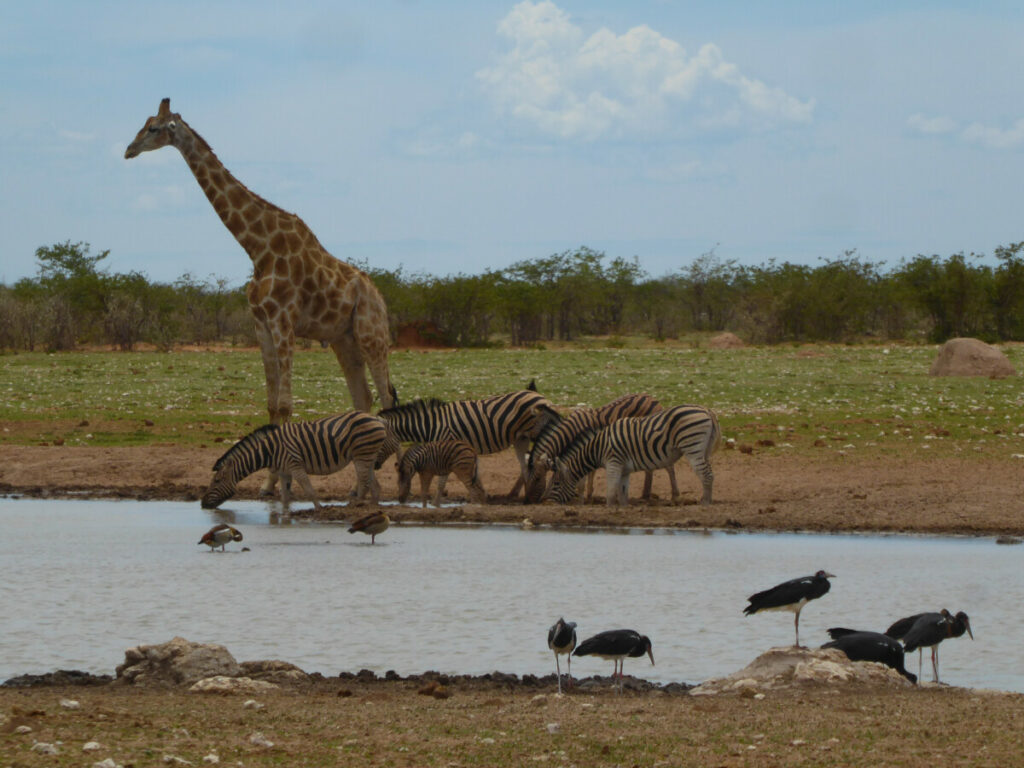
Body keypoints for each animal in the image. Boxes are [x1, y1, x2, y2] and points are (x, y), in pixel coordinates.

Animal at [125, 99, 397, 489]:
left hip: (371, 332)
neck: (257, 247)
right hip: (343, 339)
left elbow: (285, 403)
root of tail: (380, 296)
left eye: (154, 128)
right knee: (363, 396)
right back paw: (360, 483)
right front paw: (269, 485)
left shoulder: (284, 321)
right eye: (145, 123)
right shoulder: (262, 324)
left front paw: (284, 482)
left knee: (387, 395)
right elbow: (271, 403)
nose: (128, 150)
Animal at [200, 411, 387, 514]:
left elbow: (309, 490)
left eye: (216, 481)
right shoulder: (284, 471)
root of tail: (377, 419)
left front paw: (319, 509)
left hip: (361, 455)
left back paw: (355, 506)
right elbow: (284, 496)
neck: (269, 450)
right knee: (374, 483)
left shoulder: (295, 465)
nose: (202, 504)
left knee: (364, 481)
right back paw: (372, 506)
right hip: (368, 455)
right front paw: (285, 514)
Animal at [376, 387, 552, 501]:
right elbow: (475, 475)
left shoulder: (447, 443)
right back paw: (517, 494)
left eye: (380, 441)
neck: (431, 424)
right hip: (521, 438)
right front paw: (482, 495)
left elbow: (444, 476)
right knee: (525, 464)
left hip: (536, 434)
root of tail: (541, 396)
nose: (375, 465)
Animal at [524, 391, 675, 505]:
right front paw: (588, 495)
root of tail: (652, 398)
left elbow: (584, 476)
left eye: (538, 479)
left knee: (668, 466)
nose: (528, 501)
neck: (572, 430)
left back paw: (675, 495)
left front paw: (581, 499)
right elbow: (590, 471)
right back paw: (645, 494)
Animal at [544, 405, 720, 507]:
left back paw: (705, 503)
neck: (598, 447)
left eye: (556, 484)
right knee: (710, 474)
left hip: (693, 448)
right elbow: (622, 491)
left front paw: (609, 509)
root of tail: (708, 410)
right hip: (705, 450)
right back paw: (708, 500)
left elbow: (611, 490)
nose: (547, 504)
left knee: (706, 475)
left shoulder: (613, 463)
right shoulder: (624, 469)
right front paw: (623, 509)